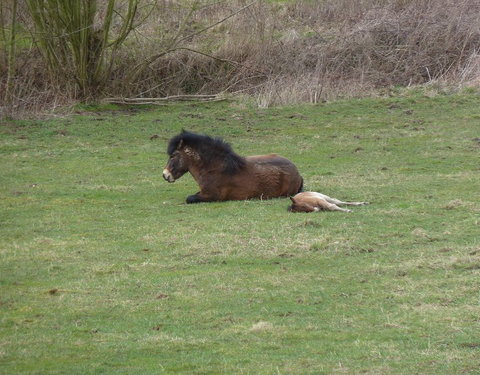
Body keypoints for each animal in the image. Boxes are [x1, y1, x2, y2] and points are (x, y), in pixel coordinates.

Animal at [163, 131, 302, 204]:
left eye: (173, 155)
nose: (165, 175)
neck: (214, 167)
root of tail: (297, 173)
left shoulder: (212, 196)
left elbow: (190, 198)